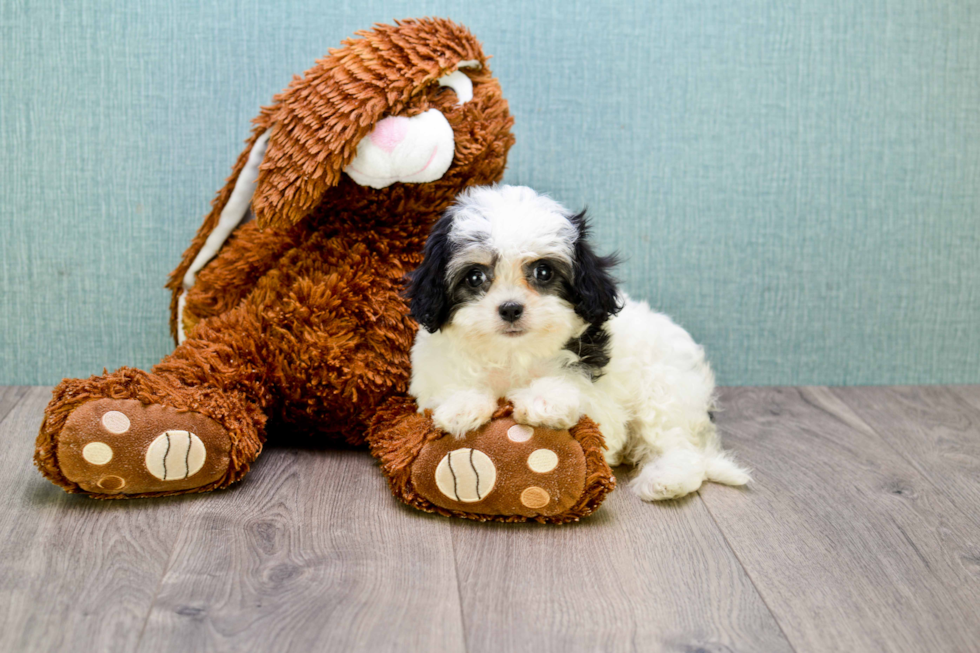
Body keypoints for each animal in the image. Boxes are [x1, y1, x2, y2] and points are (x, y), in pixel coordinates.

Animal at [406, 183, 752, 500]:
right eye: (475, 277)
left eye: (544, 272)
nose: (511, 308)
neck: (512, 354)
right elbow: (447, 386)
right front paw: (461, 406)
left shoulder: (602, 403)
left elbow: (576, 392)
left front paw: (544, 400)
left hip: (665, 389)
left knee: (677, 444)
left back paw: (666, 479)